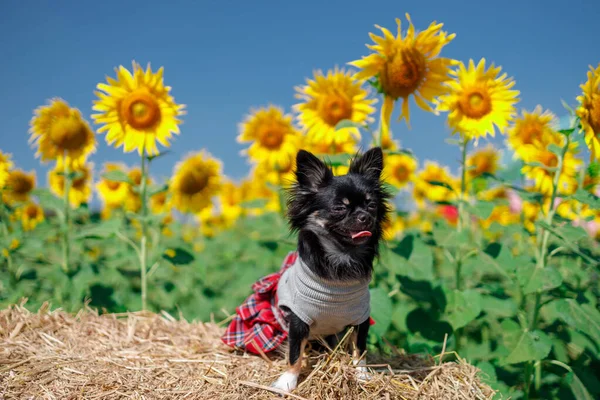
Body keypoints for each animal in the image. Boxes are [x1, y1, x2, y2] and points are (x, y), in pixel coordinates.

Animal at [270, 146, 392, 390]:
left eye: (371, 205)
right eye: (339, 208)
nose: (364, 216)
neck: (341, 258)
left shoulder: (361, 318)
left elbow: (360, 349)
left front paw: (362, 375)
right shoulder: (298, 320)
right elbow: (294, 354)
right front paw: (288, 381)